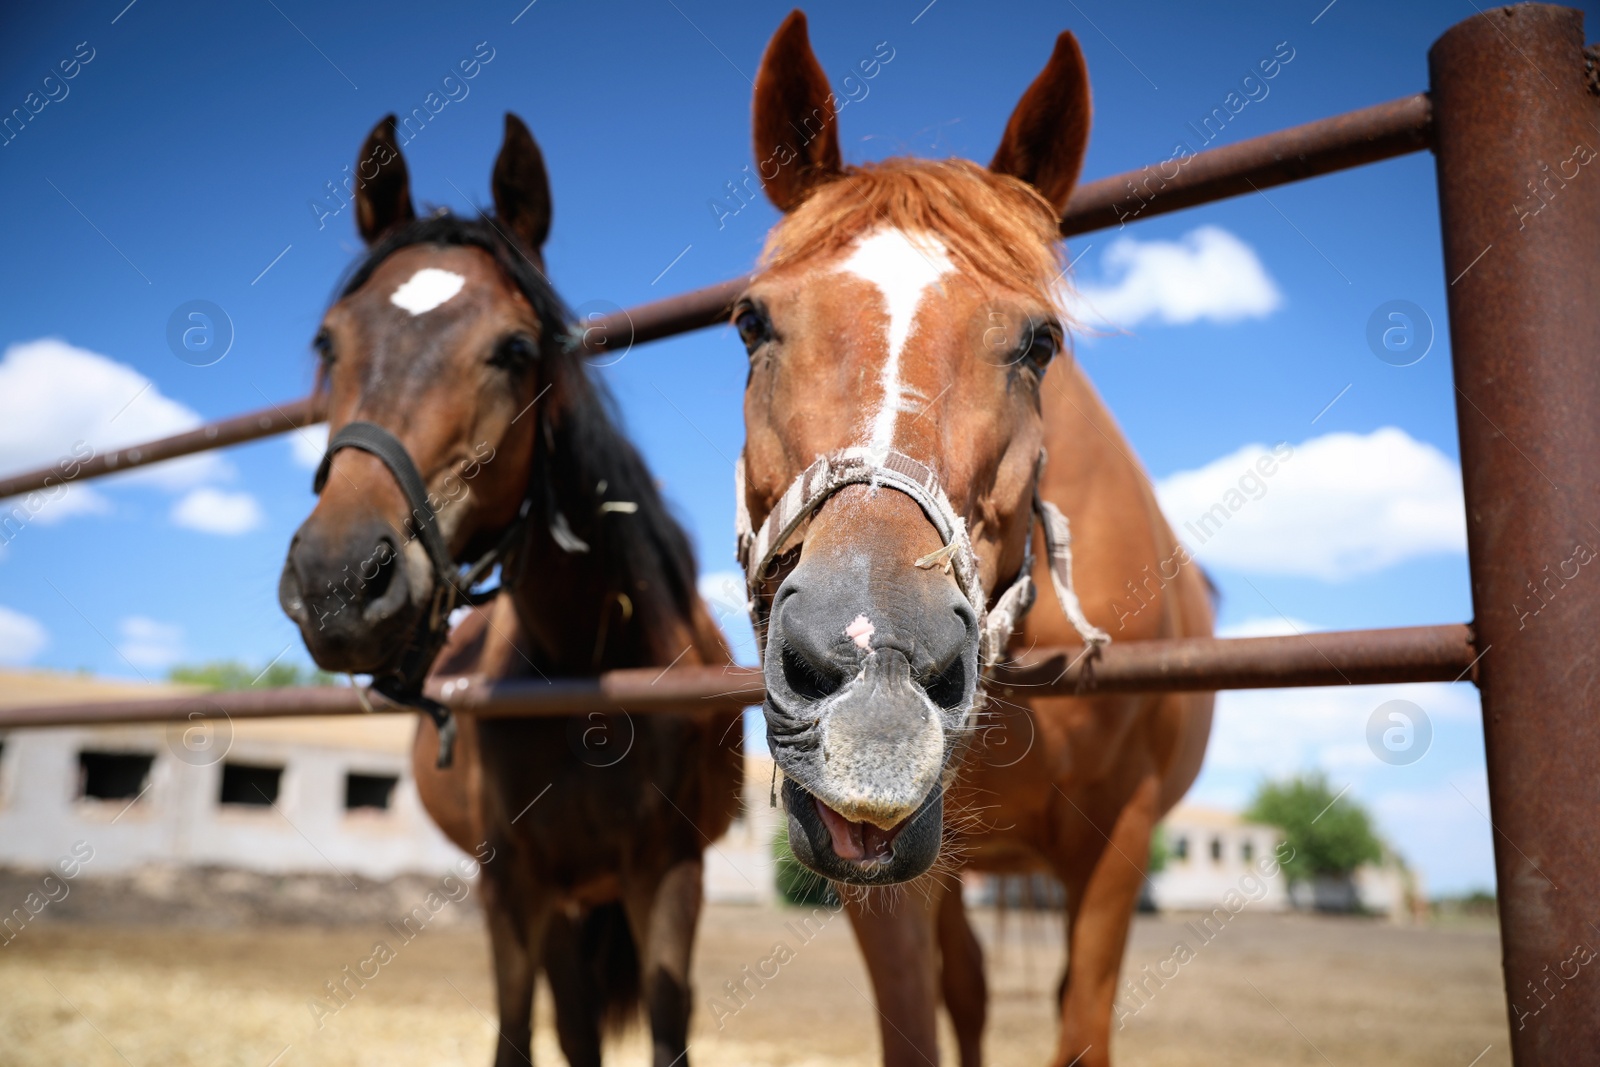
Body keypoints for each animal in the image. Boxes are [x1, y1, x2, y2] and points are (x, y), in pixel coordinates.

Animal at [278, 115, 739, 1067]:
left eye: (515, 349)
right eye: (330, 343)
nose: (339, 580)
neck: (583, 668)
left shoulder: (671, 872)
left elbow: (667, 1027)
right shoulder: (511, 879)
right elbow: (518, 1031)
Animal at [732, 16, 1209, 1067]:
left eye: (1040, 341)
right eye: (750, 323)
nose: (874, 665)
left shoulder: (1120, 839)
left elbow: (1081, 1023)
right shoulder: (872, 859)